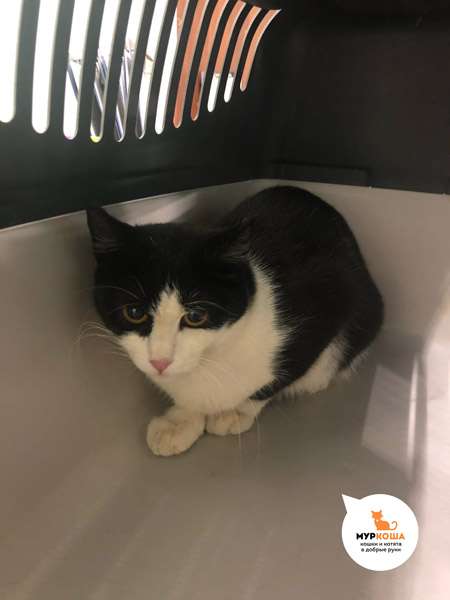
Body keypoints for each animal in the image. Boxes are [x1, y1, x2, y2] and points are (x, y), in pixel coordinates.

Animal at [87, 186, 383, 456]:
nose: (160, 361)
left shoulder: (325, 310)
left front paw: (235, 411)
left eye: (196, 316)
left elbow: (281, 376)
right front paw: (180, 420)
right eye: (134, 312)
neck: (212, 358)